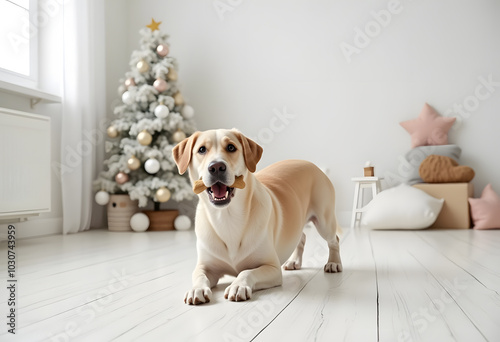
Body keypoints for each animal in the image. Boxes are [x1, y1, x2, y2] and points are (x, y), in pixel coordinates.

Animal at [174, 129, 342, 304]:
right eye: (201, 150)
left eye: (231, 147)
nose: (216, 167)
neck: (227, 217)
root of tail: (311, 164)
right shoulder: (205, 266)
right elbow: (198, 275)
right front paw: (197, 289)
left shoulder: (272, 268)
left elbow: (247, 272)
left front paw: (238, 285)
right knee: (301, 236)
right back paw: (294, 261)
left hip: (324, 221)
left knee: (334, 240)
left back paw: (333, 263)